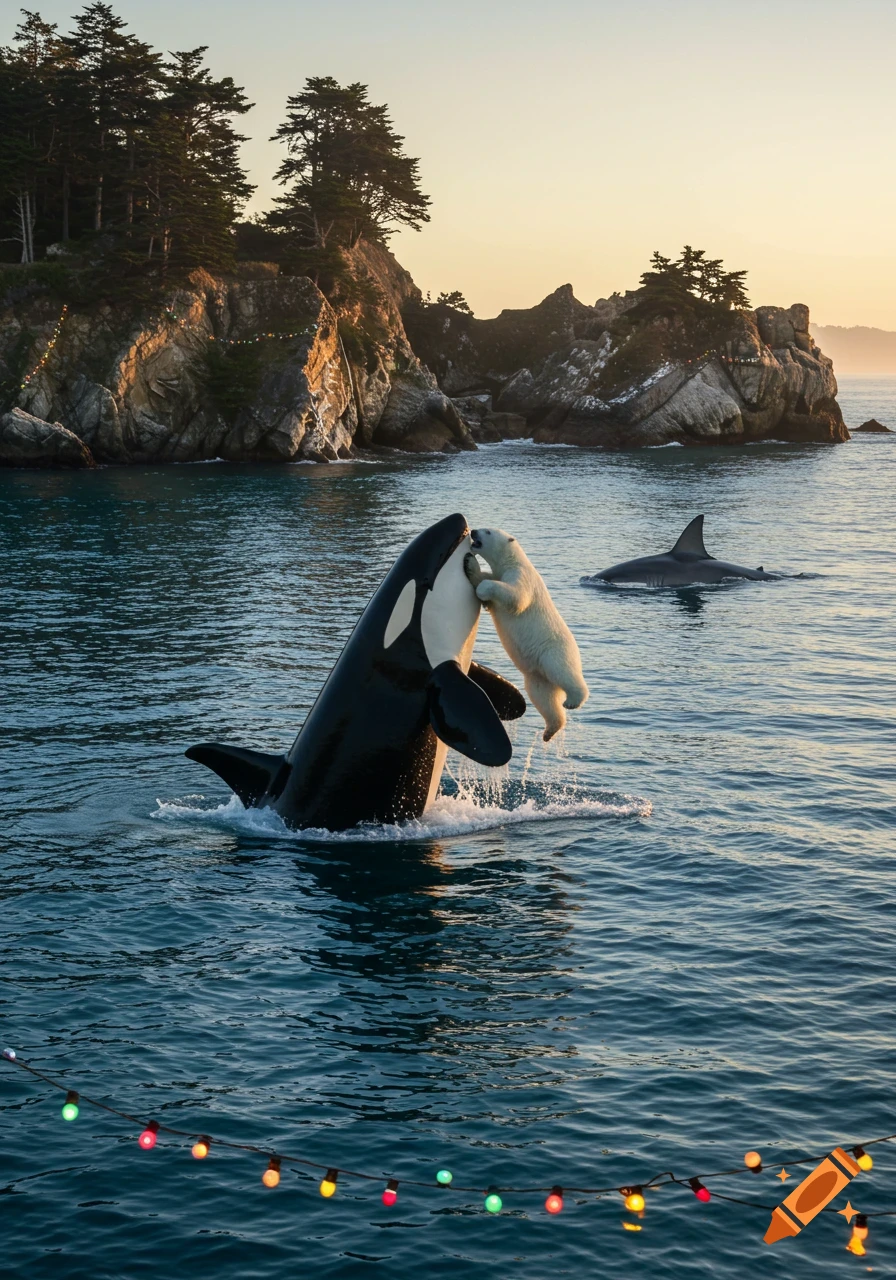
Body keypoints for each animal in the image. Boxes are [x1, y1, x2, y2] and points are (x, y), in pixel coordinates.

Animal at [464, 527, 589, 741]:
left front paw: (482, 588)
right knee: (543, 698)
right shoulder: (500, 573)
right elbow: (486, 585)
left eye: (487, 531)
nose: (473, 531)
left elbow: (515, 597)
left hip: (553, 651)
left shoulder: (520, 576)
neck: (512, 560)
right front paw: (471, 564)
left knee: (564, 673)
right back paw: (550, 730)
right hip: (536, 675)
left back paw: (573, 700)